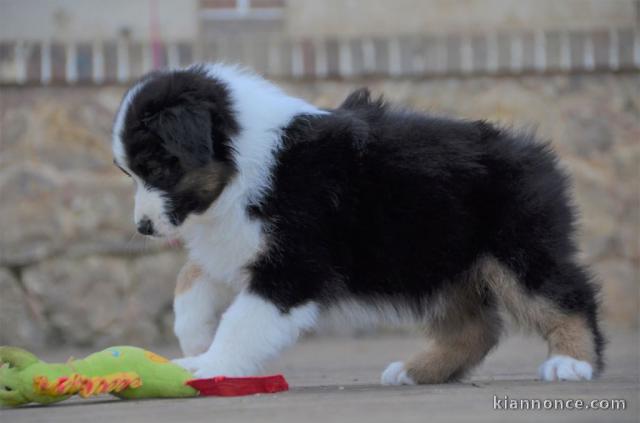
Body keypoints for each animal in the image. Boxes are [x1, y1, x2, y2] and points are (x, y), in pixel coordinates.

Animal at [111, 63, 604, 384]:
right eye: (129, 173)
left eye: (157, 167)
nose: (143, 228)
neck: (247, 161)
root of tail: (539, 155)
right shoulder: (237, 236)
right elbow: (191, 274)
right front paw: (194, 337)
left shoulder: (294, 264)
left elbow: (241, 321)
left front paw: (209, 366)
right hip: (439, 262)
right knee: (477, 329)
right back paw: (417, 370)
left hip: (516, 247)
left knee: (566, 296)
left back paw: (572, 363)